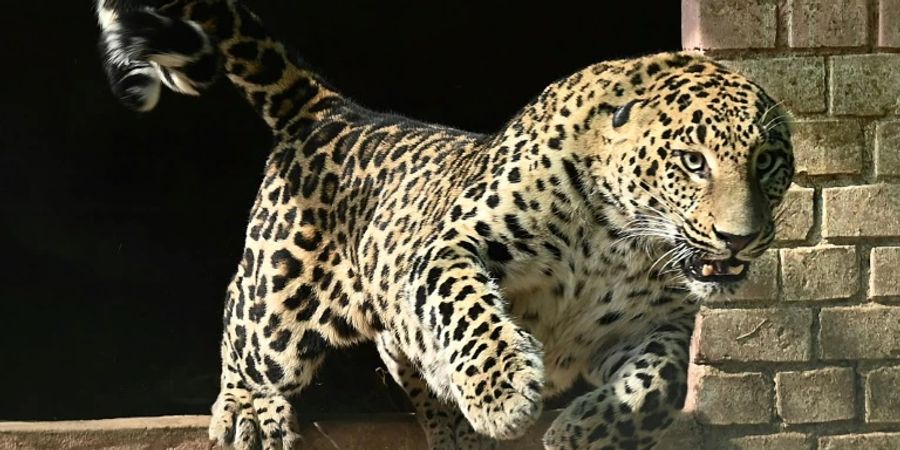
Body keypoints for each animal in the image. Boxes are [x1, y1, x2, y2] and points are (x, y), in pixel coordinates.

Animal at [93, 1, 796, 448]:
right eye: (693, 161)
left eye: (767, 162)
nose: (740, 237)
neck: (620, 244)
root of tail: (334, 111)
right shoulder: (452, 247)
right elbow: (470, 312)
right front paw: (506, 394)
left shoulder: (659, 323)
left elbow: (662, 384)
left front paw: (587, 433)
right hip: (278, 299)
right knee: (244, 328)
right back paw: (247, 411)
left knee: (399, 349)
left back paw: (453, 424)